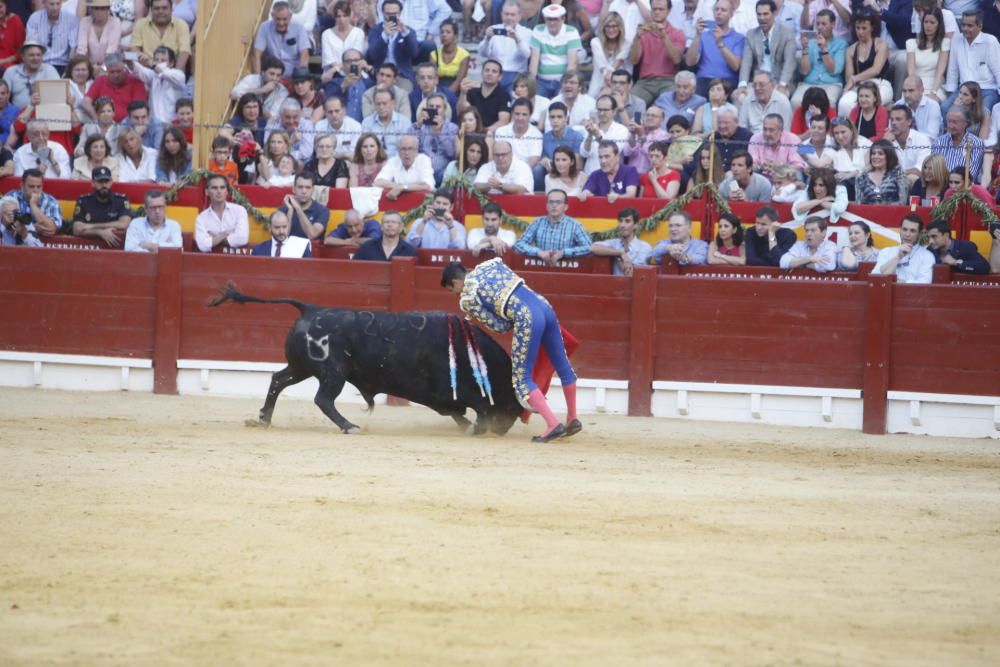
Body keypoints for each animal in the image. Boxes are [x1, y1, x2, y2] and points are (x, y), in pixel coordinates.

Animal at [209, 284, 524, 436]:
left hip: (302, 367)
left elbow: (456, 412)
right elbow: (477, 408)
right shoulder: (456, 393)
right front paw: (476, 428)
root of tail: (310, 308)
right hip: (333, 372)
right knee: (323, 399)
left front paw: (468, 426)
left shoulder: (443, 397)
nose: (503, 430)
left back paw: (264, 418)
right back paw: (349, 426)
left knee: (278, 379)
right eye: (512, 403)